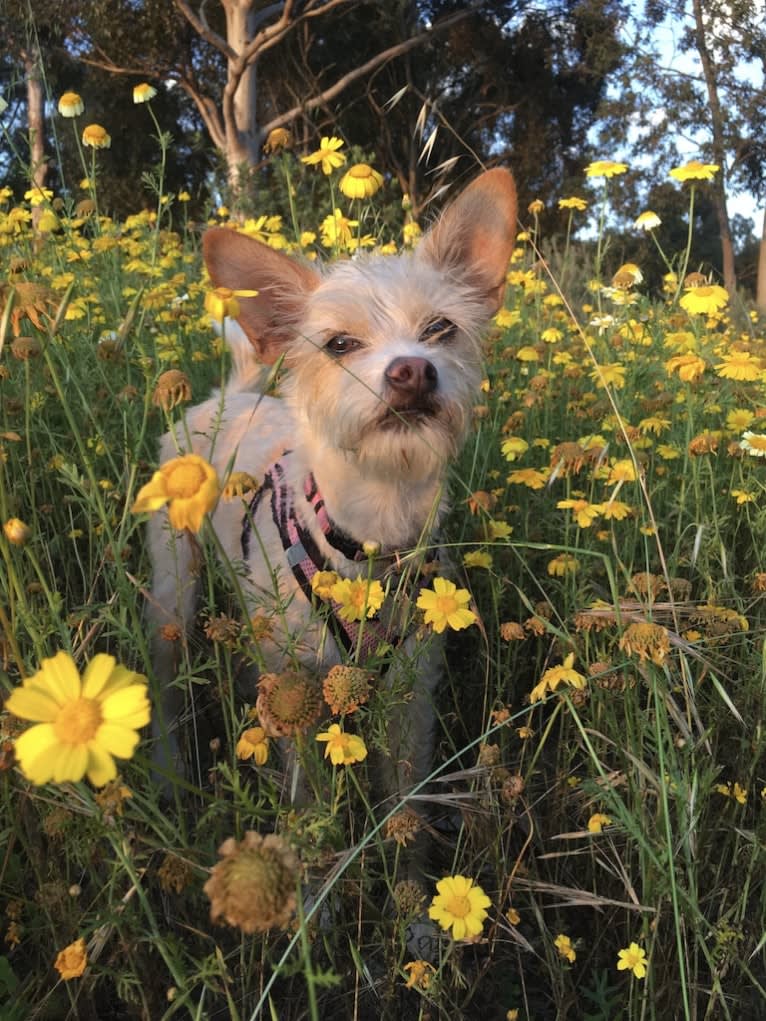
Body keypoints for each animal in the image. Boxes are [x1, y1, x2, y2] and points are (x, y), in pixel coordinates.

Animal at [147, 165, 518, 804]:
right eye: (339, 344)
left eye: (440, 329)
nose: (412, 370)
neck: (370, 530)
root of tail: (227, 397)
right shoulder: (297, 690)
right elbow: (308, 793)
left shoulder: (412, 693)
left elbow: (404, 796)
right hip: (174, 586)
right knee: (168, 680)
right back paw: (168, 771)